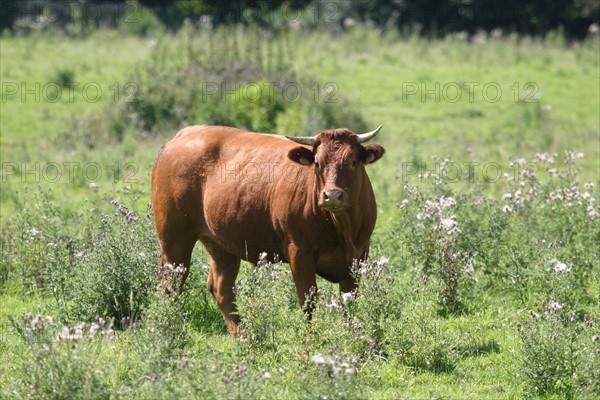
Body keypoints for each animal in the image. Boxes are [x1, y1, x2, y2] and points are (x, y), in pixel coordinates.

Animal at [150, 123, 384, 336]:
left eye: (353, 162)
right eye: (317, 163)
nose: (332, 196)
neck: (342, 228)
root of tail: (183, 134)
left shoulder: (358, 257)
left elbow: (349, 304)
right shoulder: (299, 254)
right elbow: (308, 303)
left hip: (221, 246)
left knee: (221, 289)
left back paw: (242, 335)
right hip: (174, 241)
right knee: (171, 286)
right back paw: (170, 329)